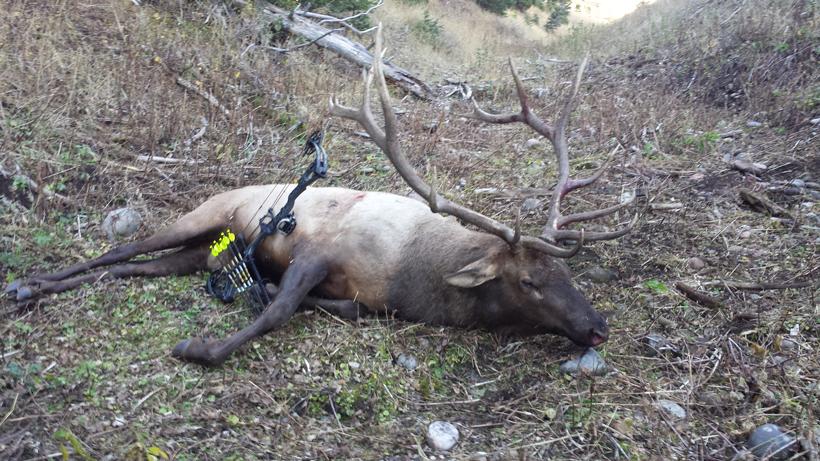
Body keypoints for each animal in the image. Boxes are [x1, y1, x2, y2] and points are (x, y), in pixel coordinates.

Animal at [4, 29, 634, 367]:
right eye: (529, 282)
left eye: (566, 274)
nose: (598, 327)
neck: (415, 279)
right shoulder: (319, 249)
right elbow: (280, 310)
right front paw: (199, 348)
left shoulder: (360, 294)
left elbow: (332, 306)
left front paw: (264, 297)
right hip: (202, 215)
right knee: (118, 251)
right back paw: (27, 285)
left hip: (202, 253)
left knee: (131, 269)